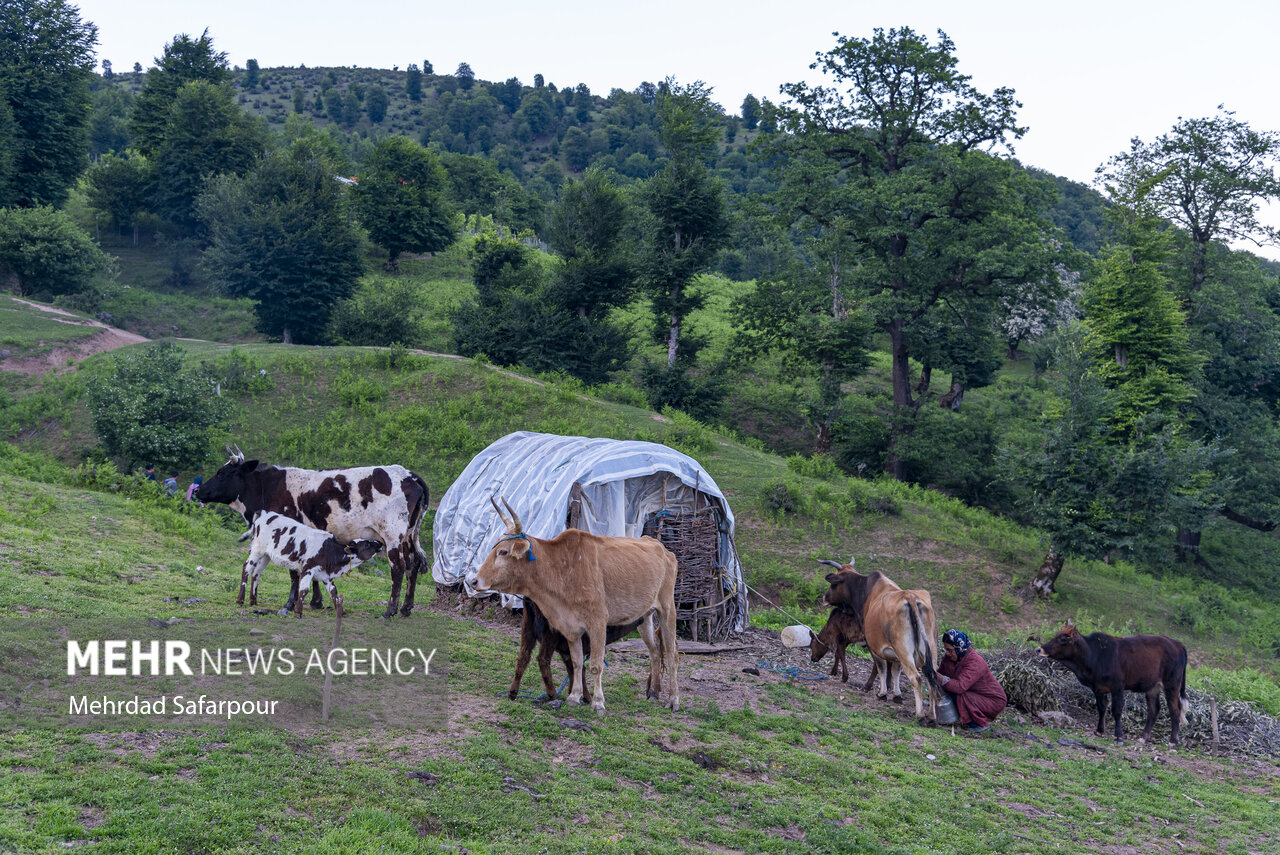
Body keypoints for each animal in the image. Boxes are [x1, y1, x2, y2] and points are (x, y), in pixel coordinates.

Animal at [240, 506, 378, 622]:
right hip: (257, 549)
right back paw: (240, 600)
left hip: (266, 555)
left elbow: (334, 592)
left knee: (256, 573)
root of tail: (265, 513)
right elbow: (304, 590)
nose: (379, 543)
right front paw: (298, 612)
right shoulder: (308, 568)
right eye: (366, 544)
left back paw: (253, 601)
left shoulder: (326, 575)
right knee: (246, 569)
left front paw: (342, 612)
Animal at [509, 601, 645, 701]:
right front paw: (586, 697)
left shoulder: (567, 650)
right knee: (543, 659)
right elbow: (580, 669)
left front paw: (573, 693)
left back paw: (513, 692)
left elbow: (573, 669)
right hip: (549, 633)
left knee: (523, 657)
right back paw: (552, 693)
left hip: (527, 628)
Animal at [819, 558, 942, 727]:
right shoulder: (895, 653)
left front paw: (882, 693)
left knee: (916, 678)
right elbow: (895, 671)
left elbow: (881, 668)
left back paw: (920, 715)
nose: (824, 598)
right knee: (931, 677)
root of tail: (910, 596)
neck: (865, 591)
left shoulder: (874, 647)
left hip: (904, 650)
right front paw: (896, 695)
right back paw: (931, 716)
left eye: (833, 584)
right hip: (930, 649)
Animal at [1034, 622, 1182, 742]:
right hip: (1152, 687)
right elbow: (1101, 708)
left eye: (1063, 639)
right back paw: (1143, 737)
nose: (1039, 649)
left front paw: (1119, 736)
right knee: (1153, 710)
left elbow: (1116, 710)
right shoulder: (1098, 688)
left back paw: (1173, 740)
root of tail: (1177, 644)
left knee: (1175, 710)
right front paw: (1100, 730)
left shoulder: (1118, 687)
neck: (1095, 655)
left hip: (1172, 685)